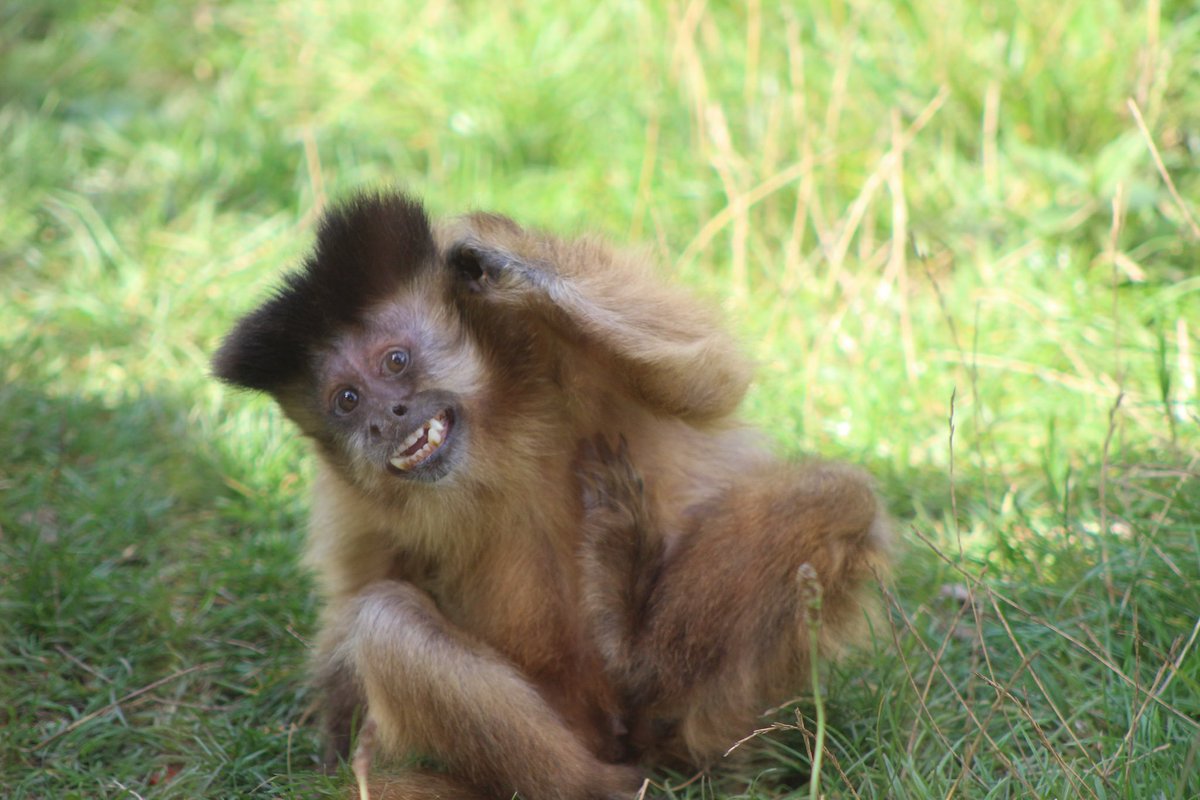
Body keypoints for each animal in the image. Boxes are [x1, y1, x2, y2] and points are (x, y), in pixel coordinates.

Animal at [212, 191, 892, 800]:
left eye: (396, 362)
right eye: (347, 401)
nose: (383, 419)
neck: (491, 441)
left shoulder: (545, 342)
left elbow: (710, 378)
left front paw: (510, 265)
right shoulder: (350, 493)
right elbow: (354, 596)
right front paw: (333, 739)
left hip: (709, 713)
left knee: (841, 498)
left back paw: (633, 641)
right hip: (571, 724)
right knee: (384, 620)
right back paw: (590, 783)